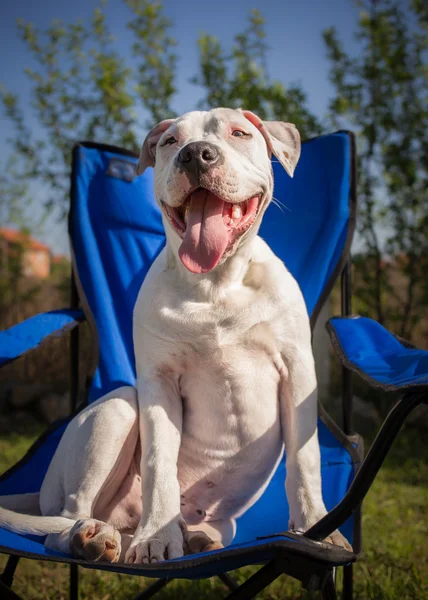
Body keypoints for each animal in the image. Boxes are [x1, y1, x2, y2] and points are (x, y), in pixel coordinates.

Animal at [0, 108, 350, 564]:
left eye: (239, 133)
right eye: (169, 142)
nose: (196, 154)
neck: (215, 285)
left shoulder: (297, 372)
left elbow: (306, 460)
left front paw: (316, 531)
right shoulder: (159, 385)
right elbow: (158, 463)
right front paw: (156, 538)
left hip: (222, 519)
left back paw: (194, 537)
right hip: (118, 410)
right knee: (66, 519)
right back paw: (91, 537)